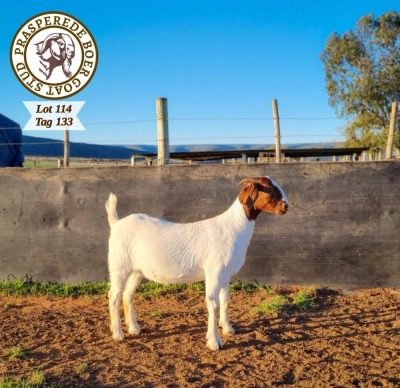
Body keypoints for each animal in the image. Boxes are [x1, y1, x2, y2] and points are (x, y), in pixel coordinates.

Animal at [105, 177, 288, 350]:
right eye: (269, 189)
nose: (285, 206)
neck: (234, 228)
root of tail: (116, 223)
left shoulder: (225, 275)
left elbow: (225, 300)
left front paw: (228, 328)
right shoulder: (214, 272)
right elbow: (213, 304)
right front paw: (214, 342)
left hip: (137, 271)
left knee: (128, 294)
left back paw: (134, 328)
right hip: (119, 266)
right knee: (114, 295)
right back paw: (118, 333)